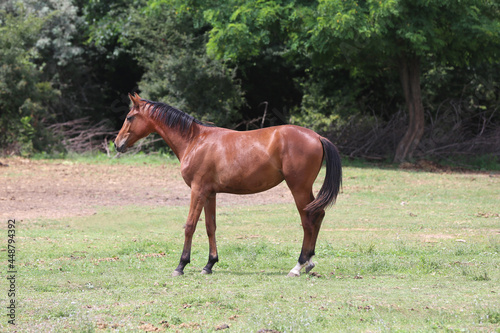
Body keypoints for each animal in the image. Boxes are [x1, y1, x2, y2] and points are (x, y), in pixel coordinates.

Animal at [114, 92, 342, 274]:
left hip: (298, 187)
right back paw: (309, 262)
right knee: (318, 215)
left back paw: (299, 265)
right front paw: (209, 264)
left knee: (308, 220)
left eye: (129, 117)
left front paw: (181, 265)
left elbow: (190, 225)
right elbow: (210, 226)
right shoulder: (210, 193)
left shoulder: (197, 190)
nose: (117, 144)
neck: (195, 140)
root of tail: (317, 136)